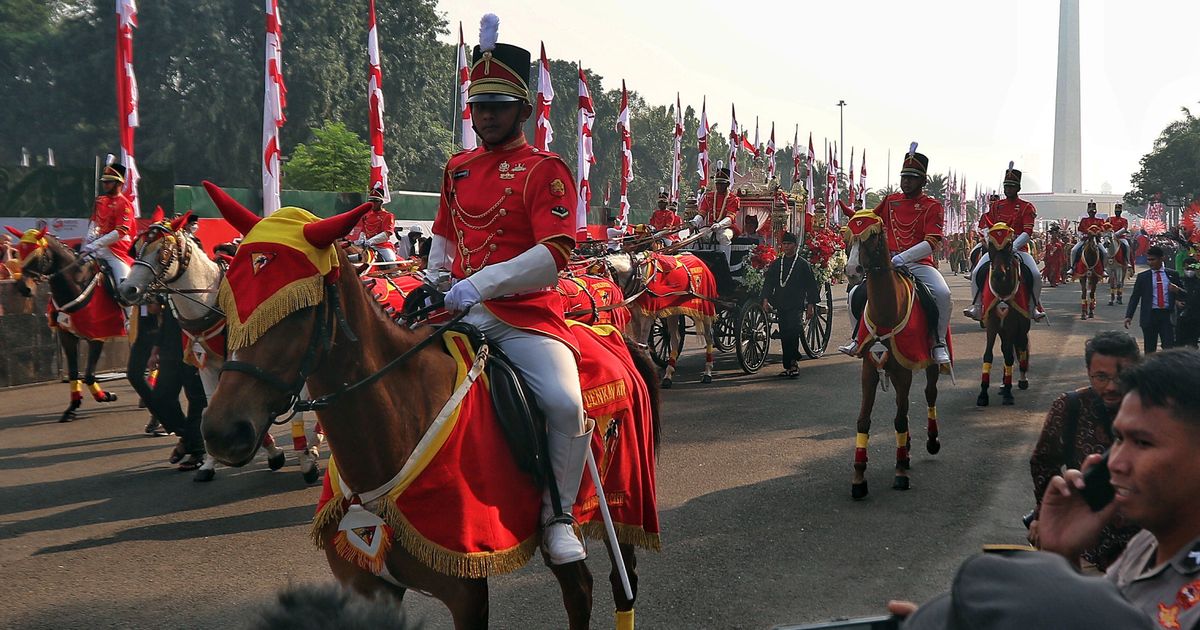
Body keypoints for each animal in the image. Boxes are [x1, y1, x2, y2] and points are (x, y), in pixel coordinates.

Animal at [9, 226, 122, 422]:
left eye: (37, 256)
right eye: (20, 253)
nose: (23, 288)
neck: (78, 283)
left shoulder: (97, 336)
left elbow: (89, 375)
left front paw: (105, 396)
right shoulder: (67, 335)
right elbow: (75, 372)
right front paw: (71, 408)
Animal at [118, 220, 324, 482]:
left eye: (162, 252)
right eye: (136, 249)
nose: (127, 289)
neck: (210, 301)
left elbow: (297, 407)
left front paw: (306, 460)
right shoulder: (210, 365)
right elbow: (209, 406)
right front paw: (212, 462)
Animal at [200, 187, 662, 628]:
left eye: (298, 309)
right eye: (228, 300)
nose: (222, 431)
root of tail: (611, 335)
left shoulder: (466, 593)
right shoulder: (369, 586)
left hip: (622, 501)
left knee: (620, 581)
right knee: (579, 589)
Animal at [844, 212, 936, 501]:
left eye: (872, 236)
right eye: (847, 236)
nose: (852, 271)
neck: (887, 311)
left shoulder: (905, 371)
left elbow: (900, 418)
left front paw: (900, 474)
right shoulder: (869, 370)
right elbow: (863, 420)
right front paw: (858, 477)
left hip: (926, 363)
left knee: (928, 395)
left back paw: (930, 442)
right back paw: (906, 451)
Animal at [974, 225, 1032, 408]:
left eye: (1009, 245)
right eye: (991, 245)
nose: (998, 274)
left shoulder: (1012, 325)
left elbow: (1009, 355)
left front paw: (1008, 393)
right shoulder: (992, 325)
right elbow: (988, 355)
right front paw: (983, 394)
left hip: (1021, 327)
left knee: (1020, 347)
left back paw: (1021, 379)